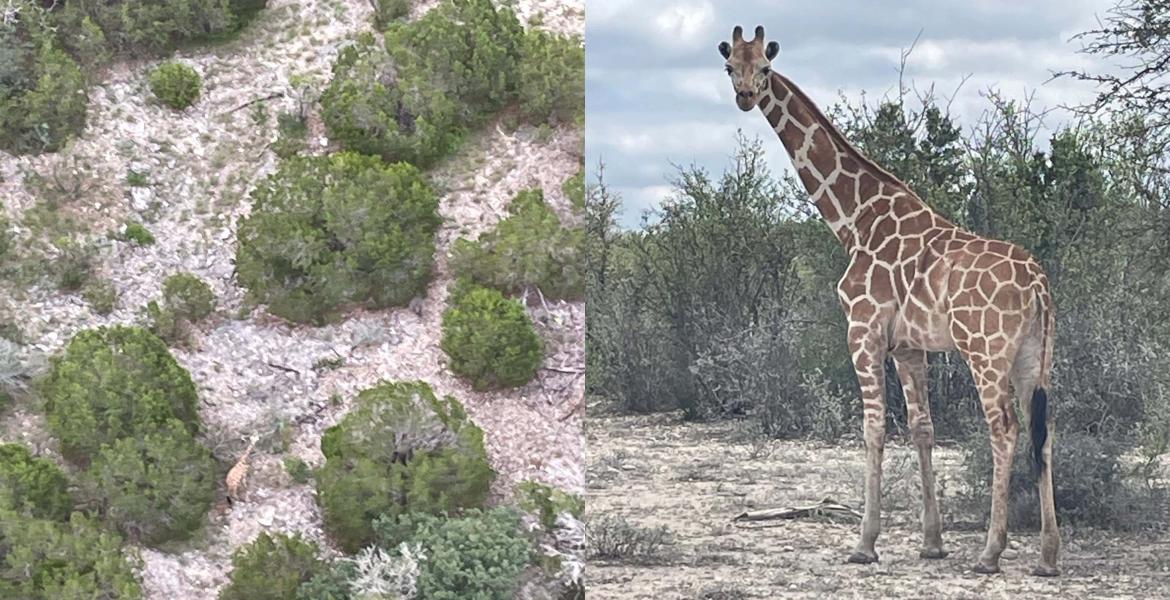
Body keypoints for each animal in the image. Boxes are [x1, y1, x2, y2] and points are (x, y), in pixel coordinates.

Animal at [717, 25, 1059, 576]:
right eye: (731, 67)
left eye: (764, 69)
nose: (746, 96)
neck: (854, 221)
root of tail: (1038, 284)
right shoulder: (908, 346)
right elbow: (922, 428)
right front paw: (932, 542)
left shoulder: (863, 330)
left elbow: (873, 428)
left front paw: (865, 543)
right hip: (1035, 354)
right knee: (1041, 431)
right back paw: (1048, 555)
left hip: (984, 350)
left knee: (1004, 429)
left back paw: (990, 552)